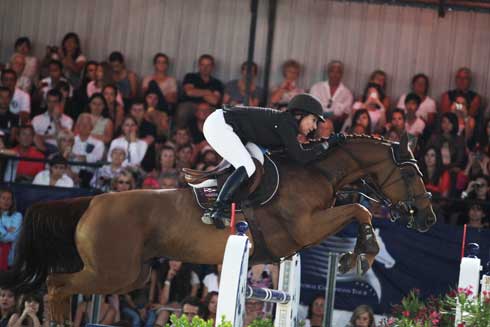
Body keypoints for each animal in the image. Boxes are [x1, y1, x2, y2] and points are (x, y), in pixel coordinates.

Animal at [0, 134, 436, 326]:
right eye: (411, 174)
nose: (429, 220)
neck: (317, 171)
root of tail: (89, 202)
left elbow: (357, 208)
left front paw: (357, 254)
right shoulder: (304, 227)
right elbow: (359, 209)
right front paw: (360, 253)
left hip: (127, 275)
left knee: (62, 285)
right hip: (112, 271)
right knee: (56, 284)